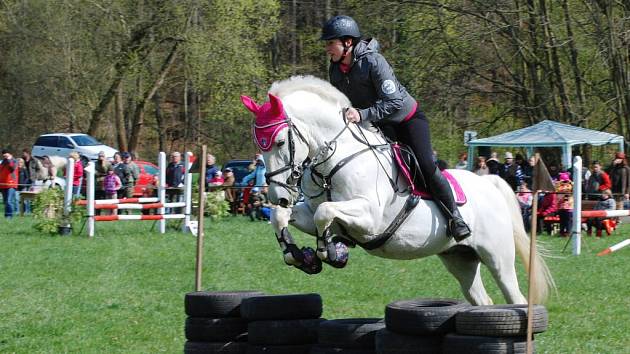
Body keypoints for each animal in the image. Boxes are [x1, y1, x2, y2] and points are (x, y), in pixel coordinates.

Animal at [239, 76, 556, 306]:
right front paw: (298, 256)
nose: (278, 195)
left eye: (280, 142)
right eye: (259, 145)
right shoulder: (309, 210)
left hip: (497, 256)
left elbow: (324, 213)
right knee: (482, 299)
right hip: (460, 258)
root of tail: (490, 182)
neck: (333, 160)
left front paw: (329, 251)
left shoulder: (369, 219)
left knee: (515, 297)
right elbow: (282, 217)